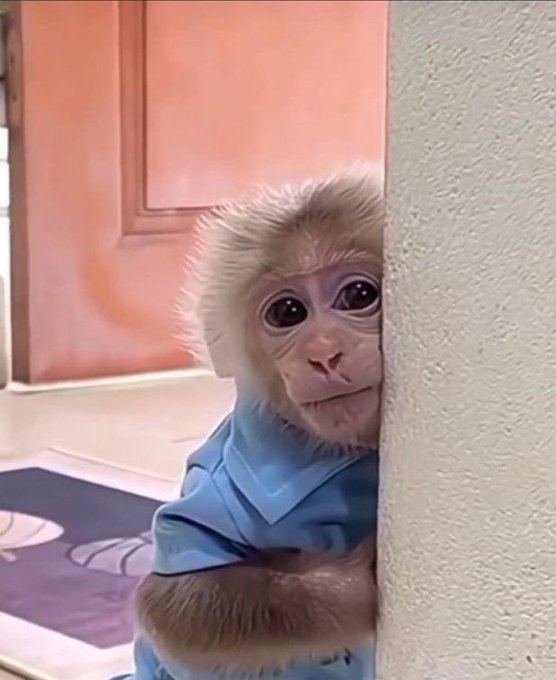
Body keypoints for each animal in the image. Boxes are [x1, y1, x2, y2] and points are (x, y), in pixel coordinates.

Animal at [115, 165, 383, 680]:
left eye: (360, 295)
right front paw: (357, 586)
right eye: (287, 312)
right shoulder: (217, 486)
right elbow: (178, 605)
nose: (324, 353)